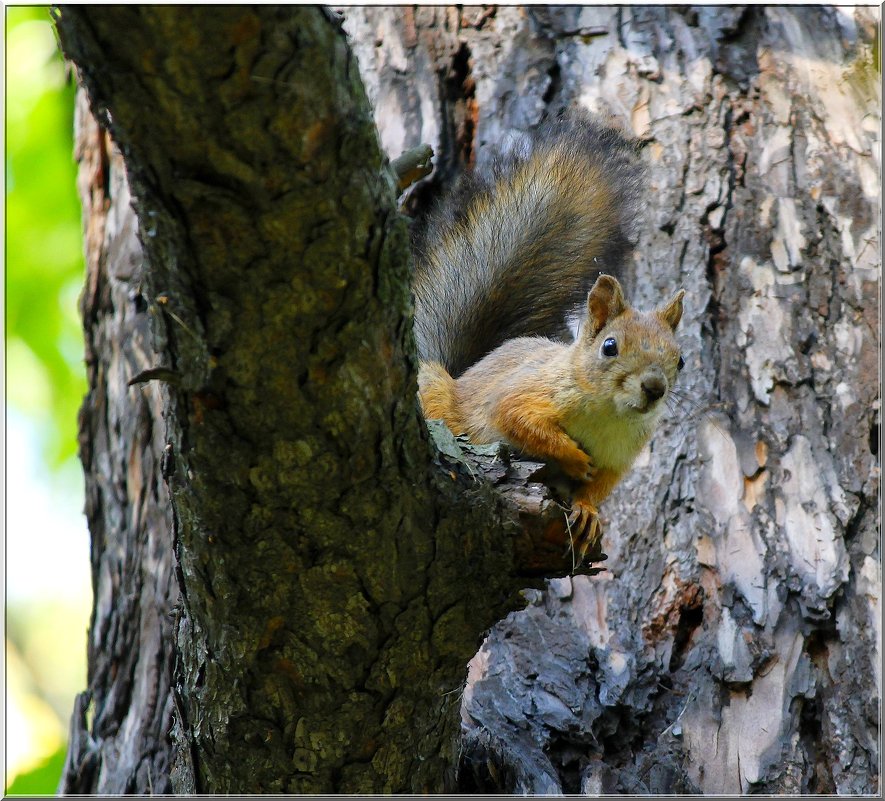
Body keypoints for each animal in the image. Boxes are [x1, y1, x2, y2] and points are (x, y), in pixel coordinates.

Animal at [410, 112, 688, 560]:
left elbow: (600, 486)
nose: (654, 388)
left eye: (680, 359)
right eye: (610, 346)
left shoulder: (621, 457)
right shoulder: (529, 390)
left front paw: (588, 509)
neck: (610, 414)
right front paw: (572, 458)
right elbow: (515, 416)